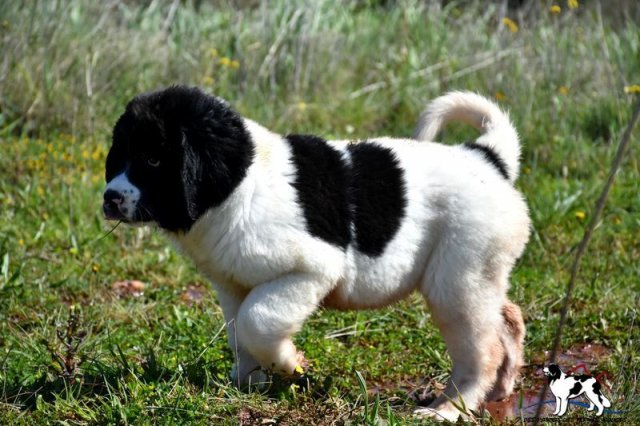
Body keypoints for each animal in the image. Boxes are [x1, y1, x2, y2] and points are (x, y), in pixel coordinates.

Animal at [103, 86, 530, 421]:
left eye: (153, 159)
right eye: (118, 157)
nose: (110, 198)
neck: (240, 186)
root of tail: (486, 157)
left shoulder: (311, 269)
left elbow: (258, 320)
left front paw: (290, 364)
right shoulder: (232, 284)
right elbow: (239, 332)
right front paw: (249, 383)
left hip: (458, 283)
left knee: (481, 351)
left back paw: (449, 408)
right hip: (479, 277)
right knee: (508, 318)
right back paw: (500, 389)